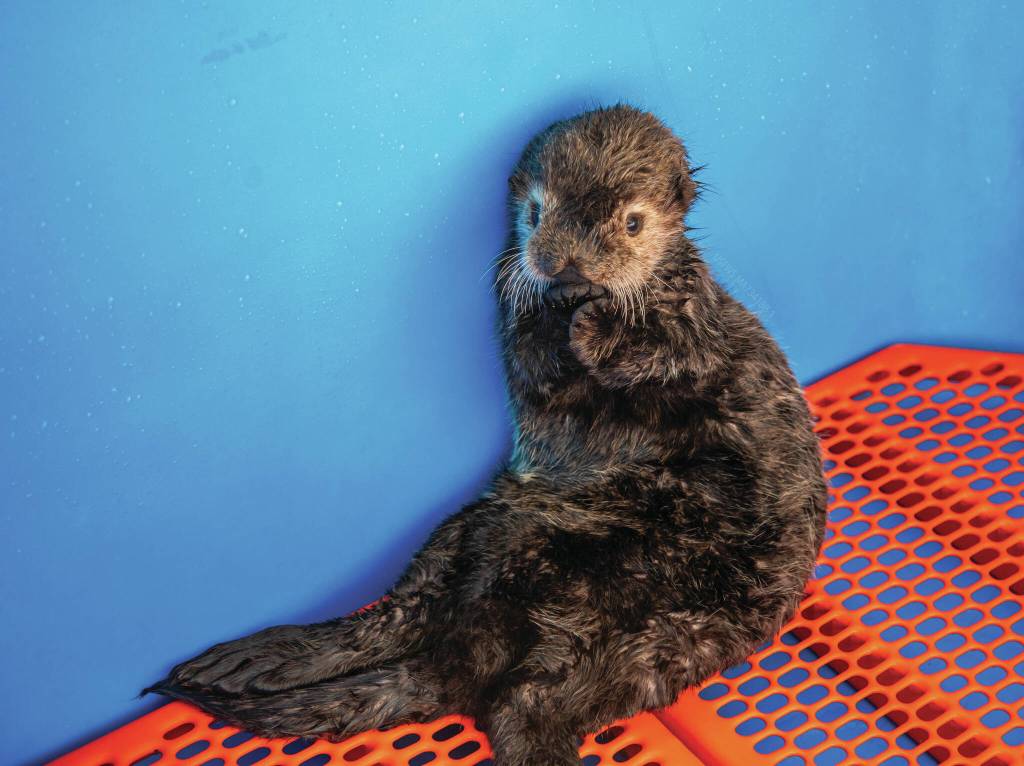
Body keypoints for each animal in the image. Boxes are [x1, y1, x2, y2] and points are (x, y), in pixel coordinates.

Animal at [147, 105, 827, 765]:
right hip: (486, 527)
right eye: (536, 212)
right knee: (402, 626)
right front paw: (567, 320)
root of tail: (481, 650)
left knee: (520, 701)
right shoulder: (514, 317)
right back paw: (260, 657)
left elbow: (670, 353)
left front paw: (597, 324)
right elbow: (536, 360)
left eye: (633, 224)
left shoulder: (696, 323)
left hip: (675, 636)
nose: (571, 265)